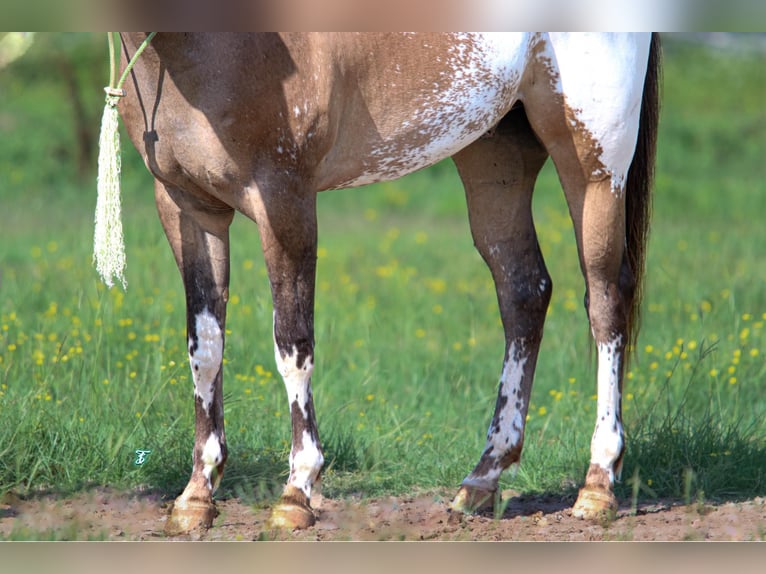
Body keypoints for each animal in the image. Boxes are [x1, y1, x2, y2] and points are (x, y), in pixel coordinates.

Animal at [108, 31, 660, 536]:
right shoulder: (186, 207)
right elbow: (205, 349)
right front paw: (196, 495)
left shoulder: (284, 199)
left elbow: (292, 346)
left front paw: (297, 492)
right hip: (496, 154)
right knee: (524, 293)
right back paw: (482, 480)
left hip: (593, 162)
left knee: (606, 300)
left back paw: (597, 486)